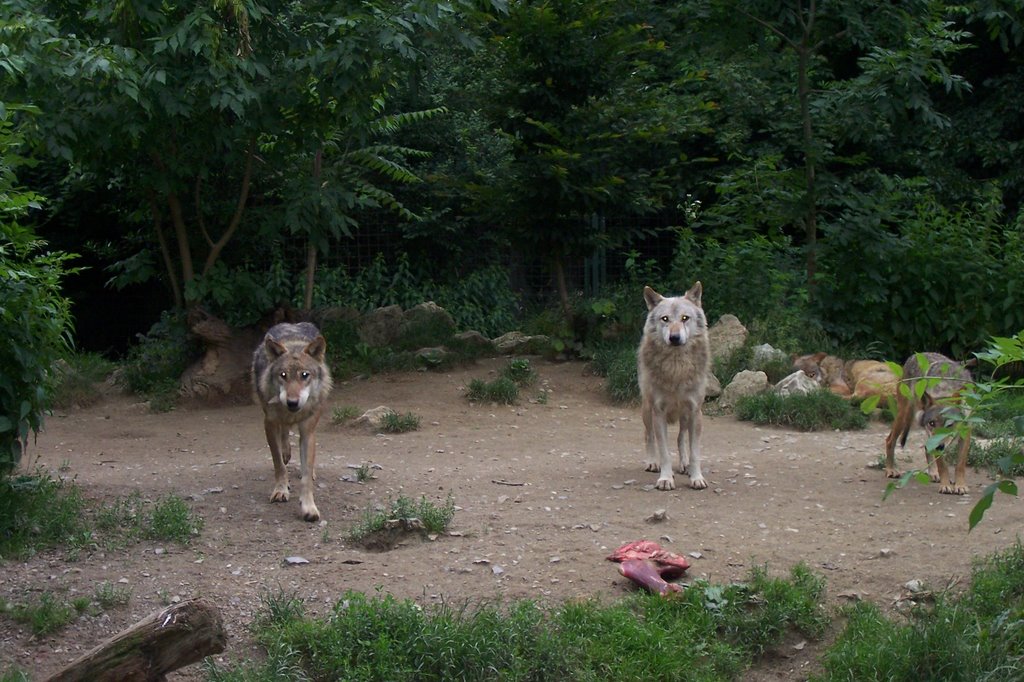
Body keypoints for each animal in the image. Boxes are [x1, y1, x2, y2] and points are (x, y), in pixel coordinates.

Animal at [250, 321, 333, 518]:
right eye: (283, 375)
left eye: (305, 375)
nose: (292, 402)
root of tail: (292, 323)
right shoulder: (269, 424)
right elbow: (278, 463)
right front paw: (281, 490)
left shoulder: (308, 430)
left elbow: (306, 473)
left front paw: (309, 506)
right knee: (284, 433)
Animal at [638, 280, 712, 489]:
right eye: (665, 319)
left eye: (685, 318)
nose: (674, 337)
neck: (676, 368)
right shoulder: (659, 413)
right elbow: (664, 453)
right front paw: (665, 479)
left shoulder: (695, 412)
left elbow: (695, 452)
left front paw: (696, 477)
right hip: (647, 410)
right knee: (648, 436)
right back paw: (652, 462)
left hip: (685, 416)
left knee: (680, 437)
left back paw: (684, 464)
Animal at [884, 352, 970, 491]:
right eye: (932, 423)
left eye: (950, 424)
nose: (939, 446)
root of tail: (914, 355)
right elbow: (943, 466)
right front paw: (945, 486)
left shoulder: (966, 432)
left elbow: (960, 465)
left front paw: (960, 485)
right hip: (904, 416)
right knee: (889, 440)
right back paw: (891, 470)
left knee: (926, 447)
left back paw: (933, 473)